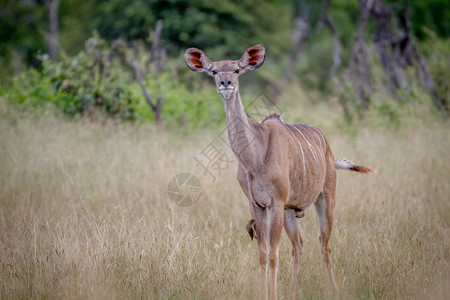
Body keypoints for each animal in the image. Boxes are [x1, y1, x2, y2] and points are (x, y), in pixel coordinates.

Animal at [185, 45, 374, 300]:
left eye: (237, 69)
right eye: (214, 71)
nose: (226, 83)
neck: (255, 156)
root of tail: (329, 153)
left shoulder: (275, 201)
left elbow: (274, 254)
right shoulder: (257, 204)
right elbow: (263, 254)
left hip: (326, 198)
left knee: (324, 245)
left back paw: (334, 290)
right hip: (290, 211)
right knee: (299, 245)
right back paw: (293, 293)